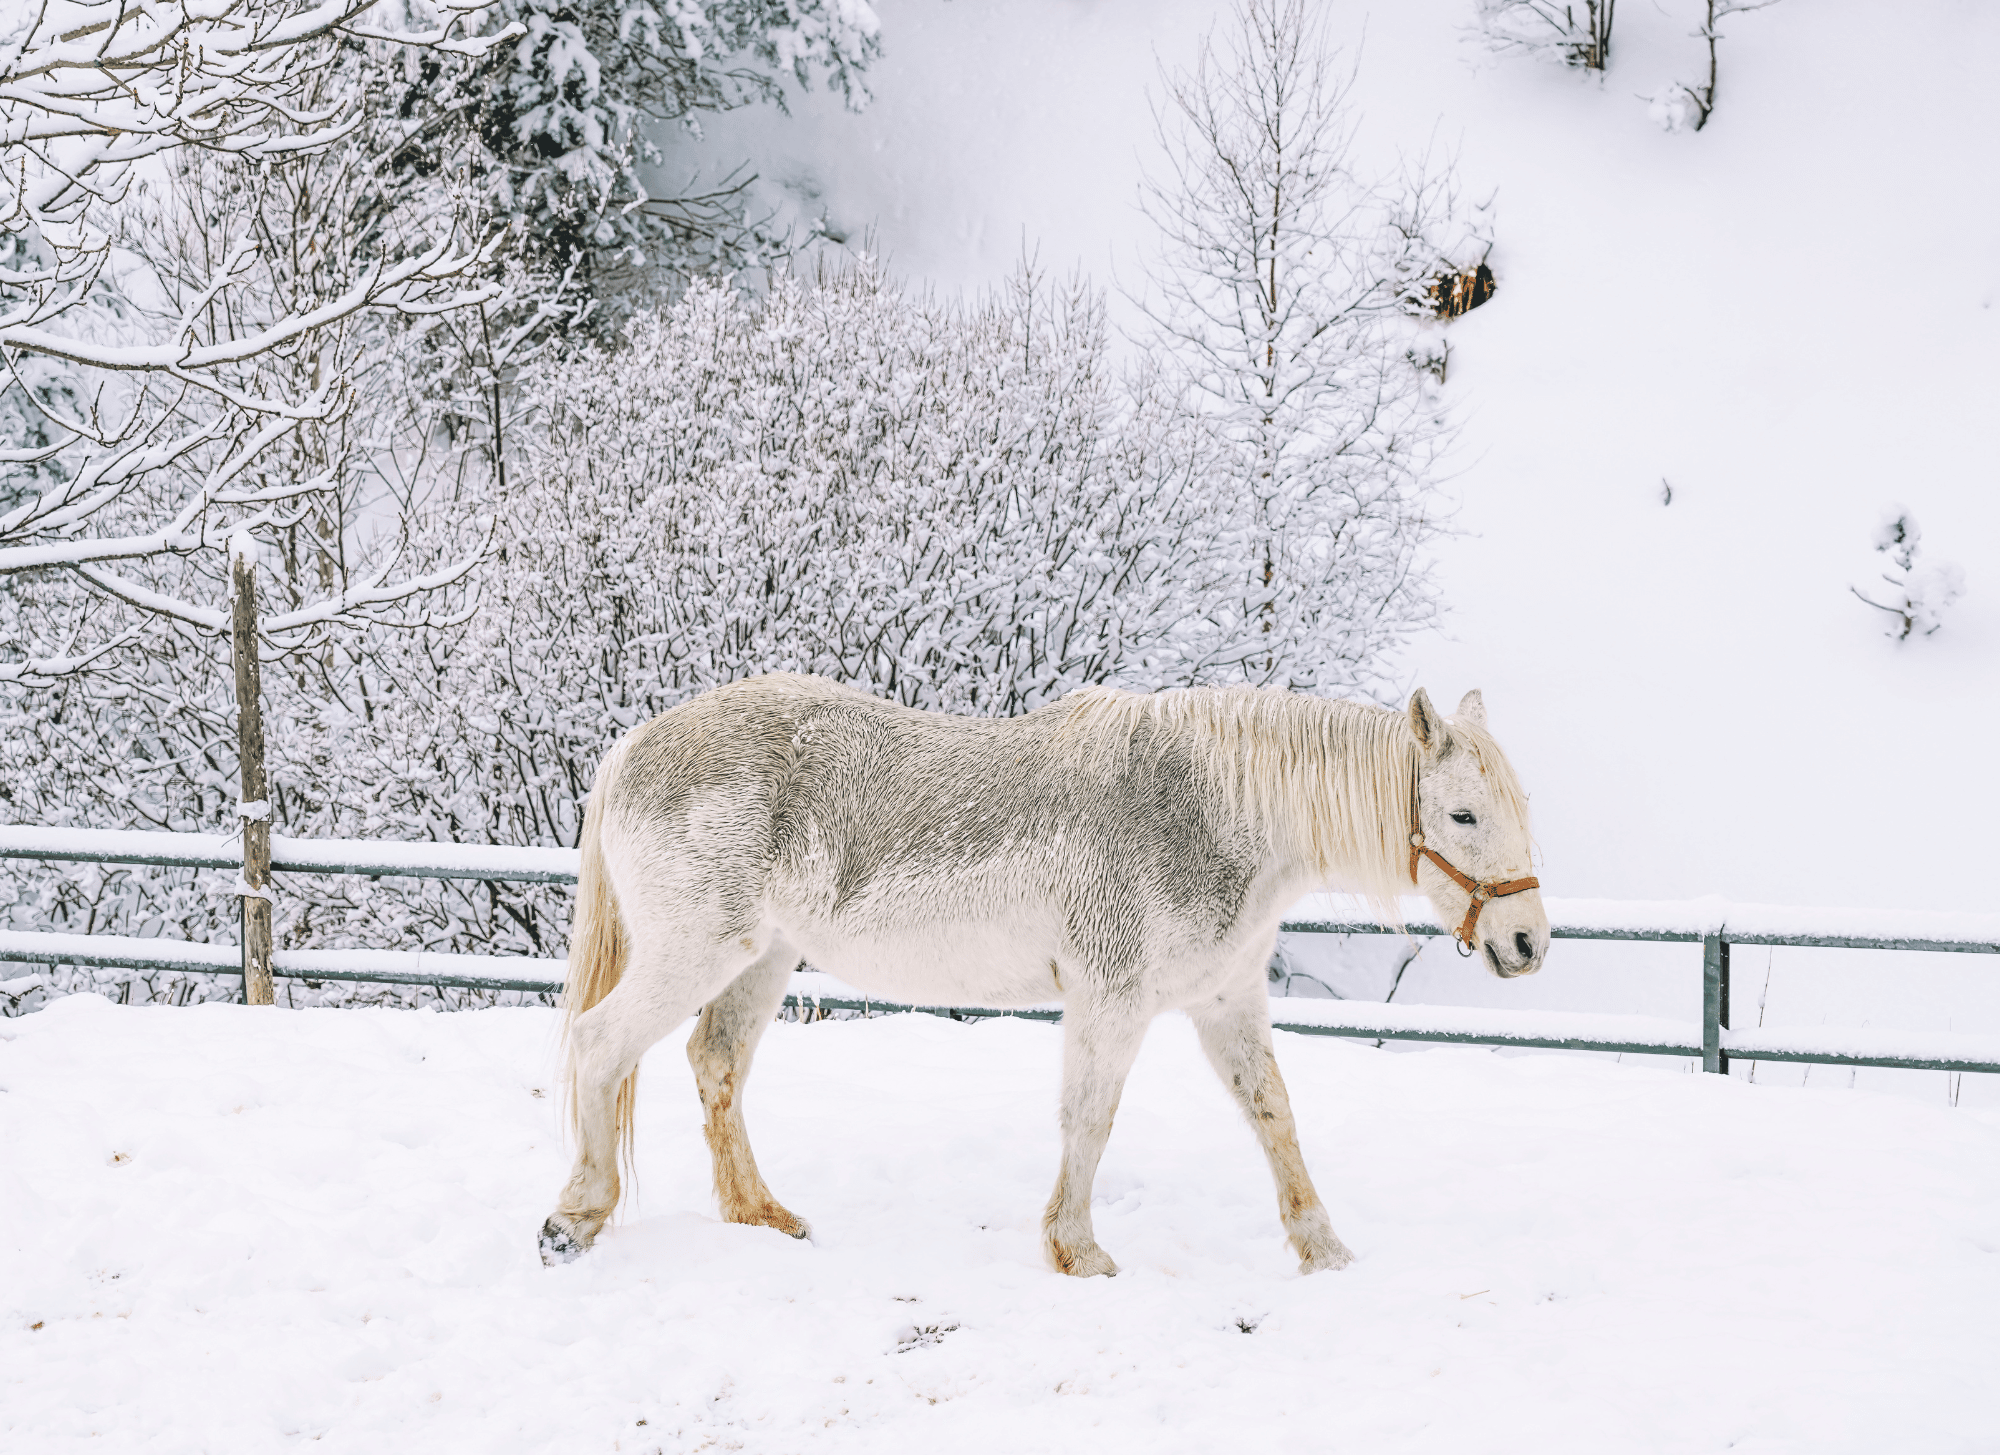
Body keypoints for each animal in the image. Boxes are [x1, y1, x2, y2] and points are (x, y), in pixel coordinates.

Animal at [538, 673, 1547, 1276]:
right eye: (1462, 814)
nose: (1529, 941)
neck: (1208, 810)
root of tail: (632, 746)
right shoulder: (1112, 1000)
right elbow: (1090, 1118)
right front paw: (1078, 1250)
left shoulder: (1225, 1000)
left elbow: (1274, 1114)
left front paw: (1323, 1248)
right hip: (693, 952)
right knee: (598, 1046)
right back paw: (575, 1218)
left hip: (761, 958)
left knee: (715, 1064)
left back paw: (763, 1215)